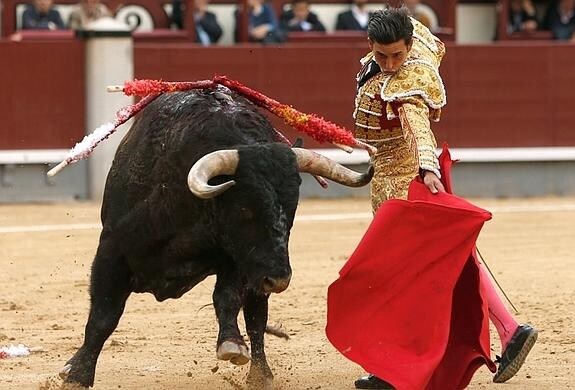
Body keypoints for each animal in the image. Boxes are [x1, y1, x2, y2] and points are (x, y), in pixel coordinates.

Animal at [59, 87, 374, 388]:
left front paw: (232, 345)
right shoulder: (112, 250)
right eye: (246, 208)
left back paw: (260, 375)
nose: (279, 279)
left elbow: (228, 298)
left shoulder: (238, 259)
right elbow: (103, 315)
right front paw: (77, 374)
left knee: (256, 318)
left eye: (293, 208)